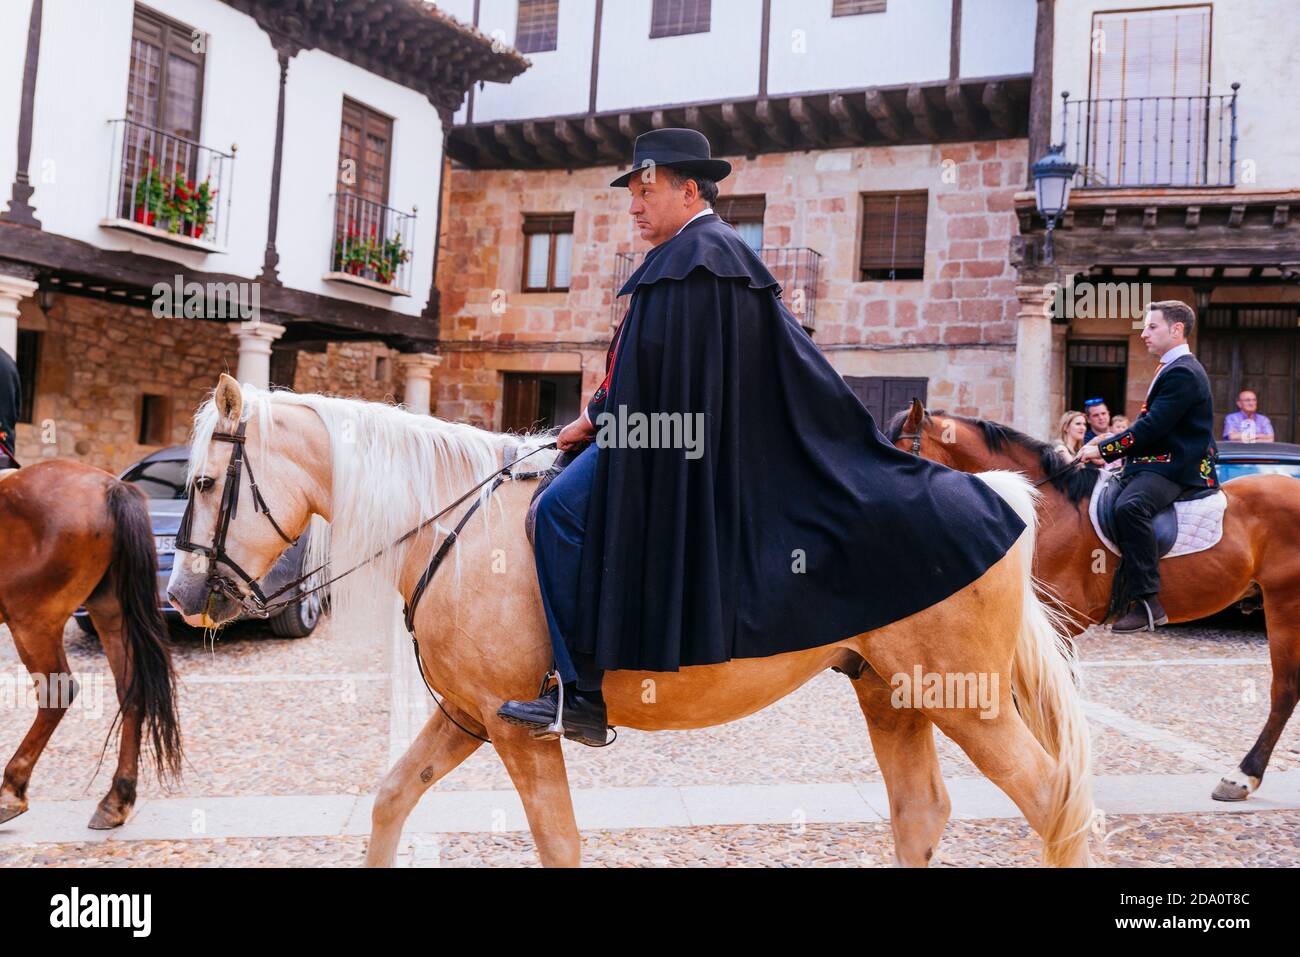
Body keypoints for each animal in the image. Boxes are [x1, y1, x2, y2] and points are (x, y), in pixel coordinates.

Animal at [0, 460, 183, 826]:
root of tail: (111, 487)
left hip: (32, 622)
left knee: (57, 692)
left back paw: (11, 791)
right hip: (111, 612)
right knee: (131, 689)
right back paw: (116, 799)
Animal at [165, 374, 1097, 868]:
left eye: (206, 483)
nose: (179, 595)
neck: (457, 523)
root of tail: (999, 496)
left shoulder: (520, 730)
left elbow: (561, 845)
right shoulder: (465, 717)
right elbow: (392, 800)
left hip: (964, 697)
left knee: (1053, 797)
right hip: (890, 692)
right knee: (921, 812)